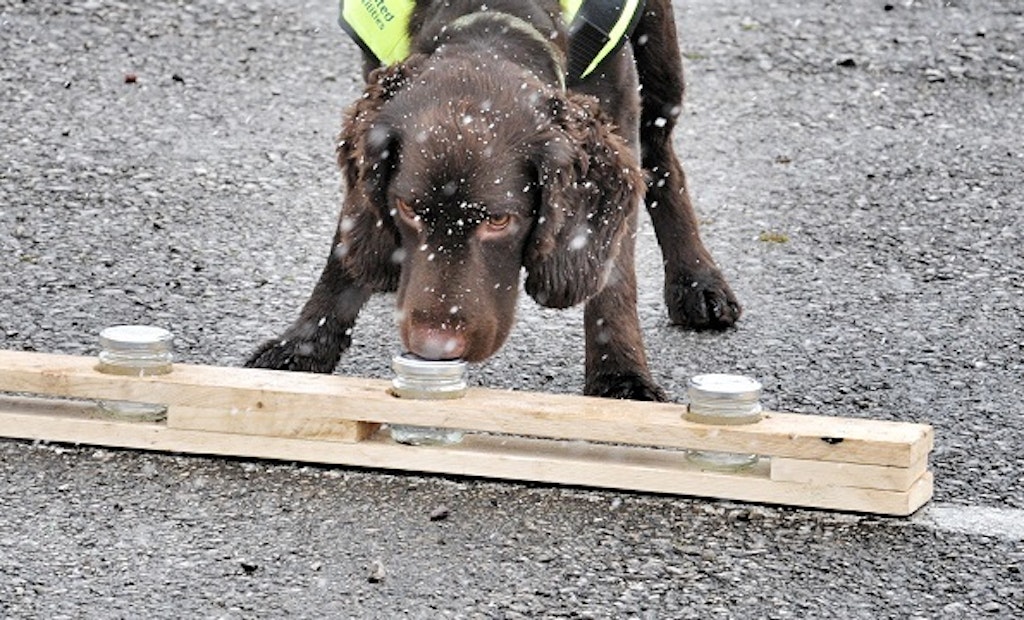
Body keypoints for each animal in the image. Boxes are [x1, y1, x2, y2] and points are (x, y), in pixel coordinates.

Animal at [246, 0, 737, 401]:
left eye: (500, 221)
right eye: (407, 209)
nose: (434, 349)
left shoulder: (617, 102)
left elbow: (614, 271)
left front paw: (621, 376)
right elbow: (350, 229)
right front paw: (305, 344)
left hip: (658, 69)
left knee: (663, 162)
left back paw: (697, 281)